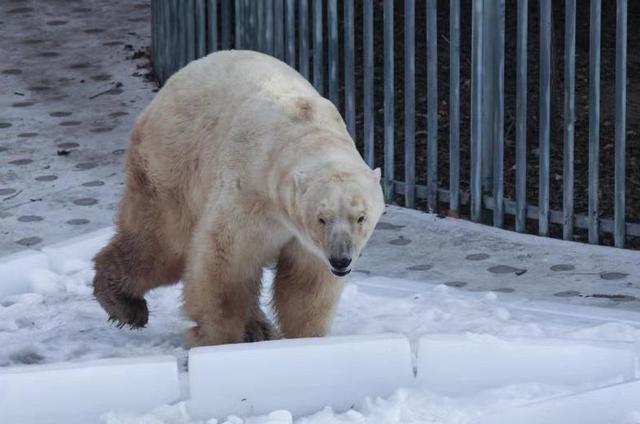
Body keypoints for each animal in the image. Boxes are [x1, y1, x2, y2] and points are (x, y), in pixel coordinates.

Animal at [94, 50, 384, 348]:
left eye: (361, 217)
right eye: (322, 218)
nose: (341, 260)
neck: (305, 130)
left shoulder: (307, 241)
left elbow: (306, 283)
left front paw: (307, 340)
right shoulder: (250, 192)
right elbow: (226, 263)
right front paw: (216, 339)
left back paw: (257, 327)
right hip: (173, 163)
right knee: (163, 244)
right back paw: (125, 304)